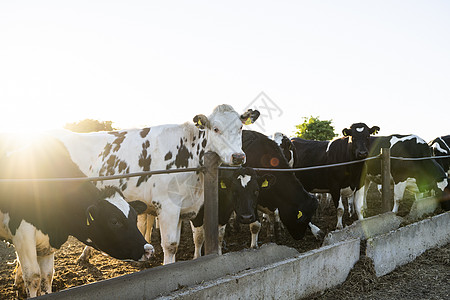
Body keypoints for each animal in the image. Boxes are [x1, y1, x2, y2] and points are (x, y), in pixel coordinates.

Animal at [0, 135, 153, 298]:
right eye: (114, 221)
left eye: (135, 217)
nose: (149, 250)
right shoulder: (23, 234)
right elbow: (33, 277)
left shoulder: (48, 242)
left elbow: (47, 276)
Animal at [50, 105, 258, 264]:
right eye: (215, 129)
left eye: (240, 127)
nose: (238, 156)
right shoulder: (167, 207)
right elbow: (170, 245)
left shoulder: (184, 209)